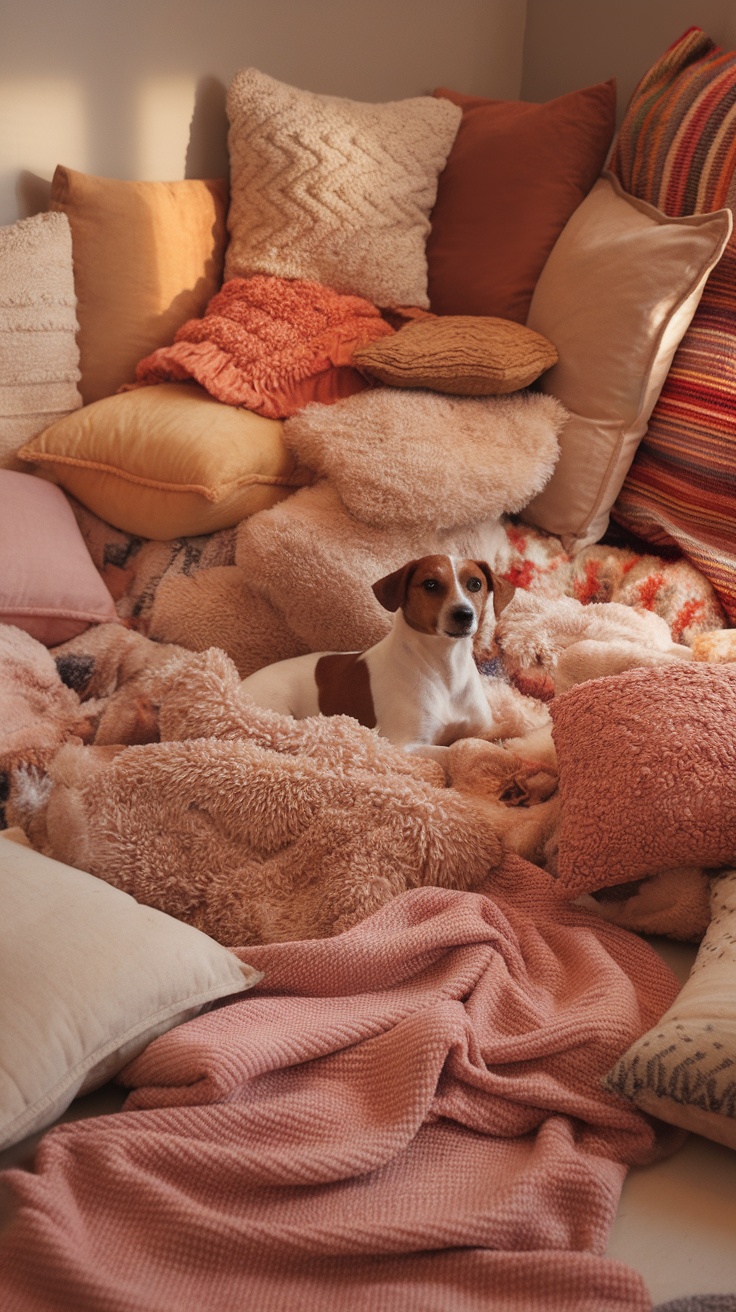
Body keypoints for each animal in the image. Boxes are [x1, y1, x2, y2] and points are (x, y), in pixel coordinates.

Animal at [238, 553, 519, 755]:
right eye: (430, 584)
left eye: (475, 583)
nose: (464, 614)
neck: (445, 668)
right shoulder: (404, 745)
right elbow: (455, 750)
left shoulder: (483, 728)